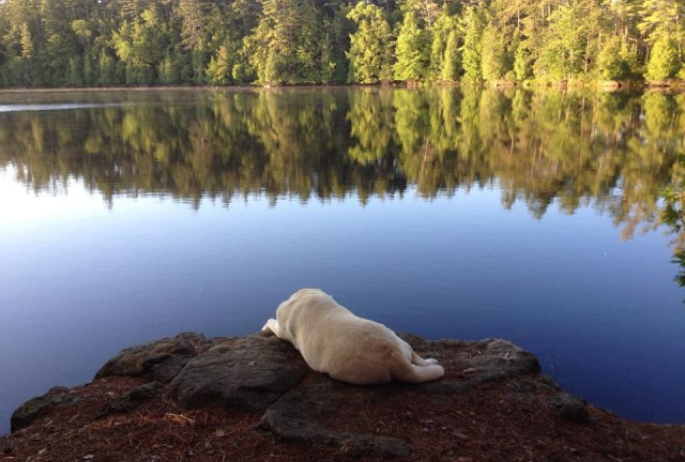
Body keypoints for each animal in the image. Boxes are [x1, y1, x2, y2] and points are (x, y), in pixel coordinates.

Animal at [260, 290, 444, 384]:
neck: (307, 296)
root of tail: (393, 354)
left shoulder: (281, 328)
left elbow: (272, 323)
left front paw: (265, 326)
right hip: (398, 340)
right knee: (415, 355)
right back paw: (430, 362)